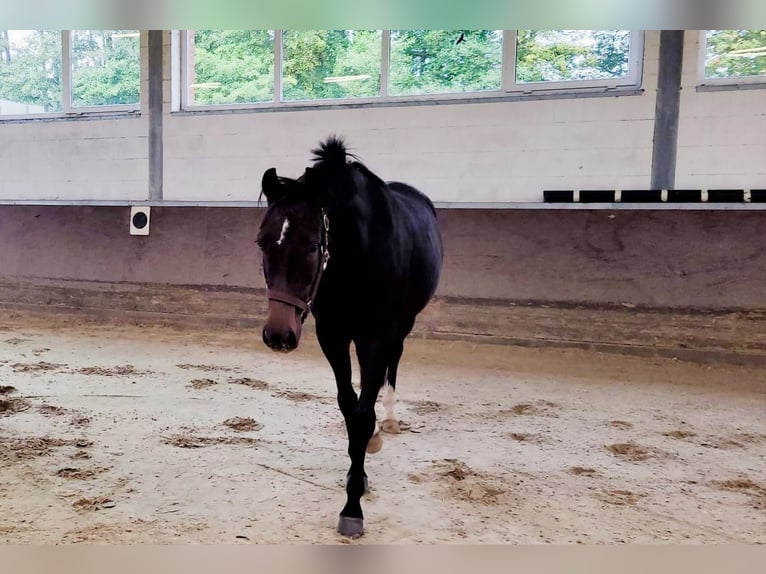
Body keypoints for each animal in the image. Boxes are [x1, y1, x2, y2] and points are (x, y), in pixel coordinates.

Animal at [256, 136, 443, 538]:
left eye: (313, 245)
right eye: (262, 243)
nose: (278, 334)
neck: (357, 255)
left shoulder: (378, 335)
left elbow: (362, 414)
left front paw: (353, 505)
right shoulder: (334, 334)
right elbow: (348, 404)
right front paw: (358, 470)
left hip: (401, 327)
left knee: (393, 365)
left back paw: (390, 419)